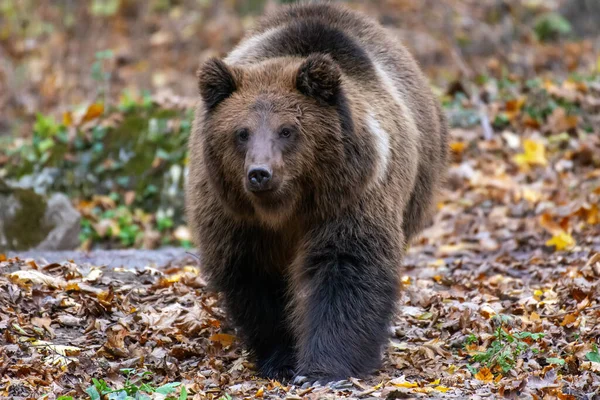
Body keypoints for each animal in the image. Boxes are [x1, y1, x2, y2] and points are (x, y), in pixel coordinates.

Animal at [185, 1, 448, 382]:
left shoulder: (351, 197)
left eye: (287, 130)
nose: (259, 173)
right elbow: (256, 279)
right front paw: (280, 358)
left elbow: (346, 269)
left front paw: (323, 368)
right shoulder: (234, 216)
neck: (286, 208)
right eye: (241, 132)